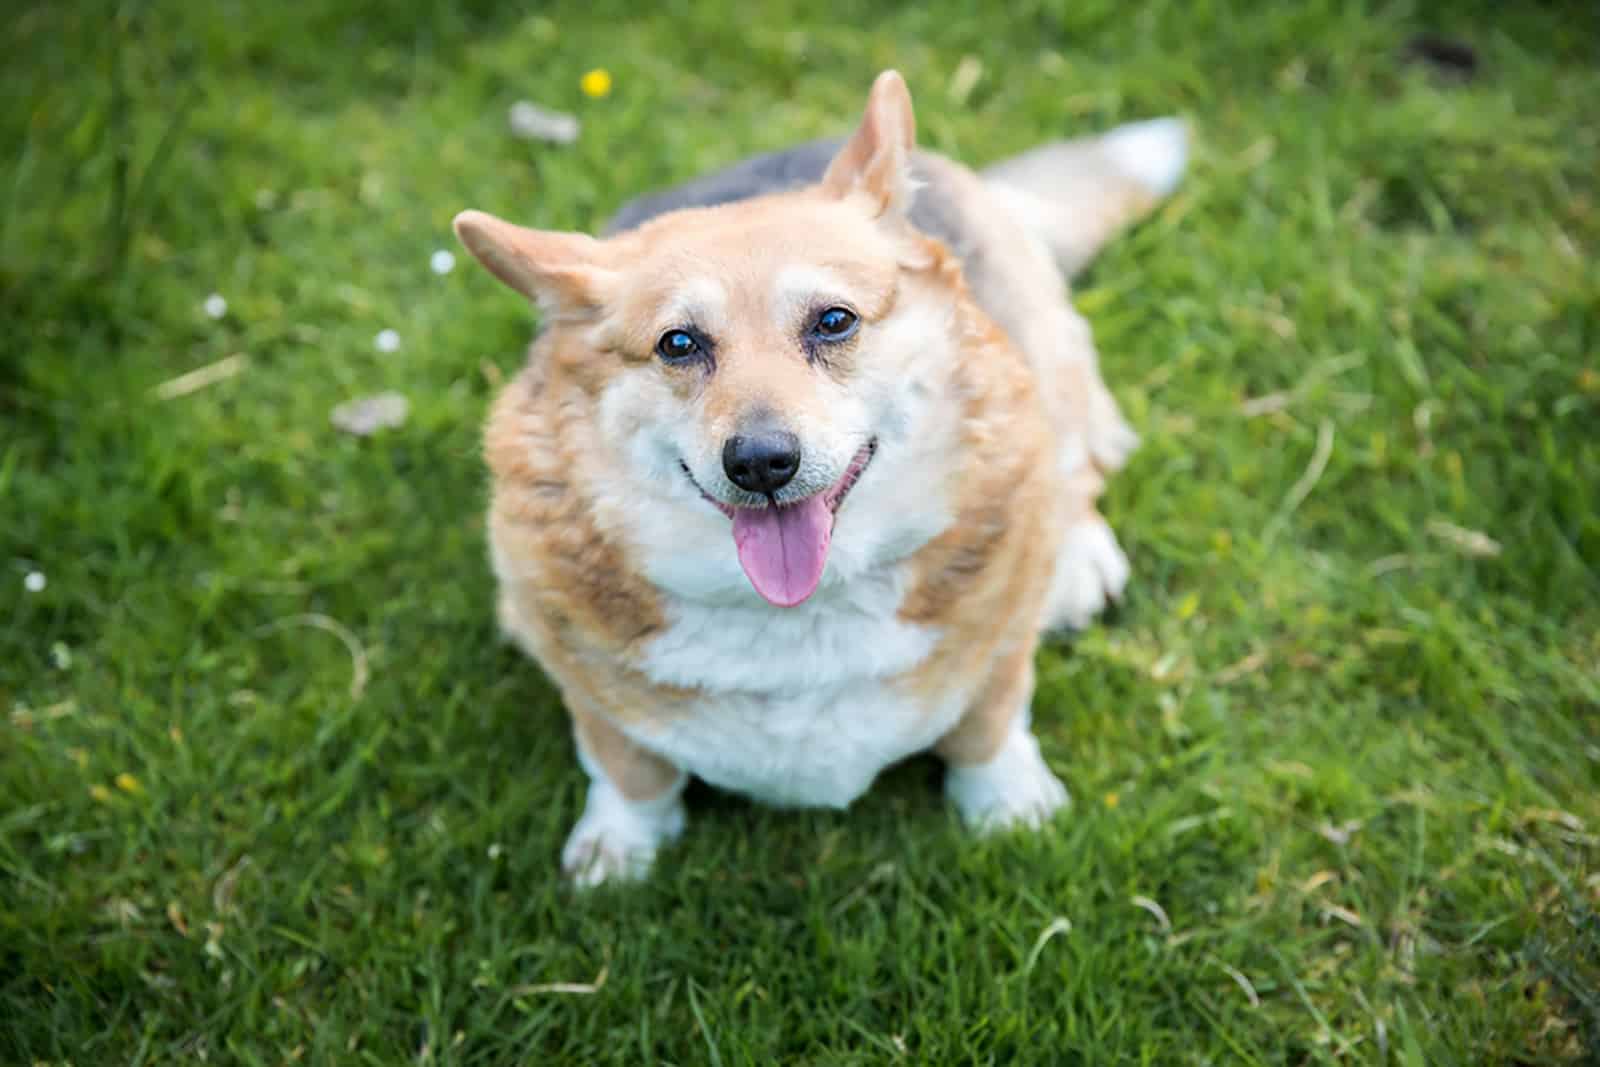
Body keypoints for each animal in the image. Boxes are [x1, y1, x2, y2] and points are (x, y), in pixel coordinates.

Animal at [454, 66, 1190, 883]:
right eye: (678, 343)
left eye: (833, 321)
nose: (761, 462)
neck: (803, 613)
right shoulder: (581, 679)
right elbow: (628, 766)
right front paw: (620, 848)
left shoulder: (998, 653)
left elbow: (988, 725)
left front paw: (1009, 807)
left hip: (1045, 351)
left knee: (1074, 456)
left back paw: (1077, 557)